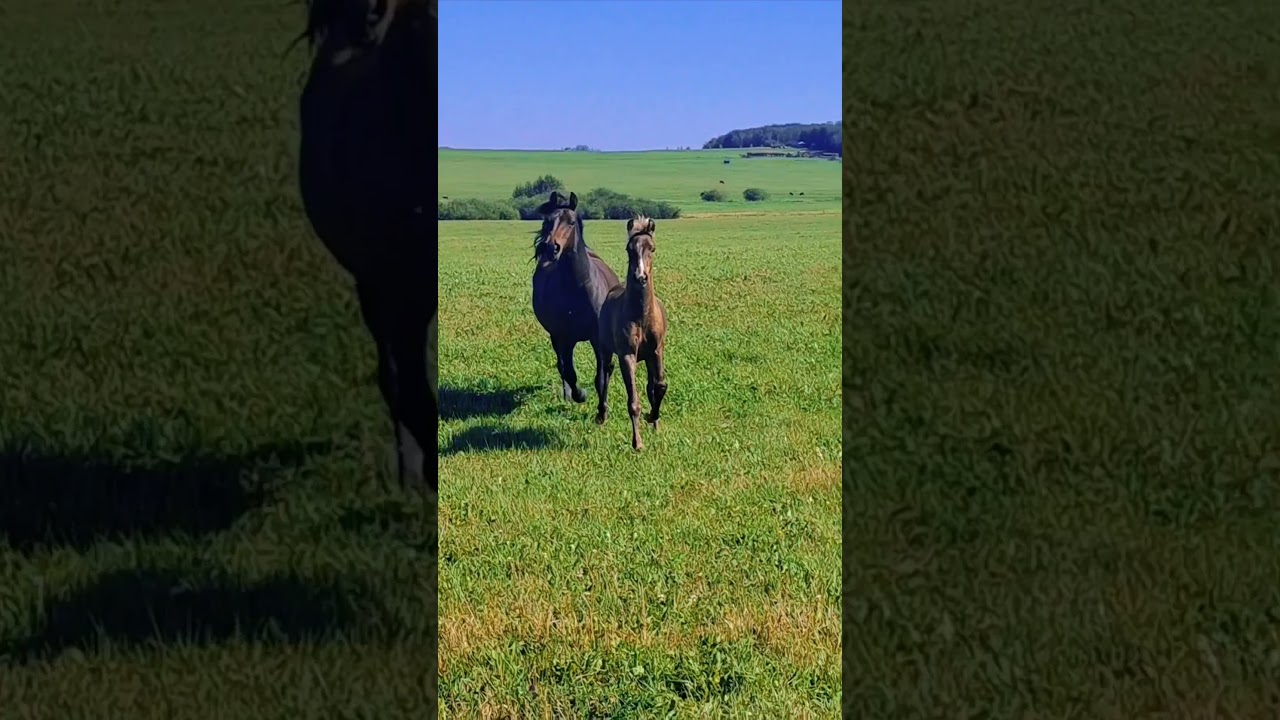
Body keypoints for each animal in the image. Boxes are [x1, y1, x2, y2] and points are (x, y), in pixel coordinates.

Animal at [531, 191, 621, 424]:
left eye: (571, 222)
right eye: (547, 221)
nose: (550, 248)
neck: (578, 286)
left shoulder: (597, 338)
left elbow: (600, 377)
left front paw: (601, 413)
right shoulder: (563, 337)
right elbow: (569, 372)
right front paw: (579, 395)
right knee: (562, 367)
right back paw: (568, 394)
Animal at [598, 215, 668, 451]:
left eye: (652, 248)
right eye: (629, 249)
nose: (640, 277)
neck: (641, 316)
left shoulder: (656, 351)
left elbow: (659, 386)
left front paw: (653, 418)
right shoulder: (627, 355)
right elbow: (633, 401)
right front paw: (637, 443)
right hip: (605, 350)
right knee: (604, 376)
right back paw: (601, 415)